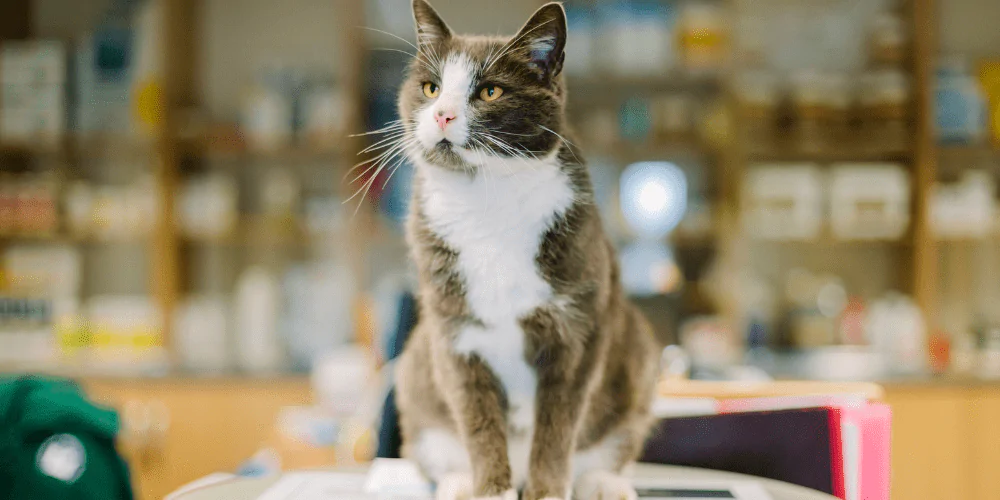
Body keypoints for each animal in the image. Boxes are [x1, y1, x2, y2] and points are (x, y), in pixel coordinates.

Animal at [392, 2, 664, 500]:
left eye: (490, 91)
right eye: (431, 87)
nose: (442, 115)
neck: (486, 204)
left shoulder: (579, 331)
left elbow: (558, 427)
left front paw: (549, 490)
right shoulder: (451, 334)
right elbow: (478, 422)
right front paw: (490, 488)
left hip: (638, 357)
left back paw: (602, 482)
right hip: (413, 372)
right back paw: (459, 481)